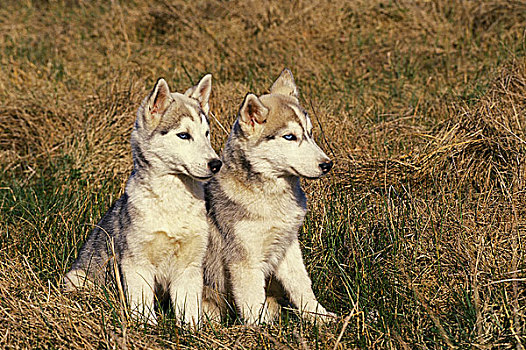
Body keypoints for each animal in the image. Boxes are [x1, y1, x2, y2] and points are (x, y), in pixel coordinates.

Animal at [65, 74, 222, 326]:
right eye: (184, 135)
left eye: (206, 134)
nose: (216, 164)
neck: (172, 203)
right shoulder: (136, 262)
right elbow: (142, 303)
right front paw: (146, 326)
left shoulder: (190, 266)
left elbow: (189, 308)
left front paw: (192, 330)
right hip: (78, 278)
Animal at [204, 69, 336, 326]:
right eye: (289, 137)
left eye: (310, 133)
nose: (327, 165)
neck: (273, 199)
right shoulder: (244, 260)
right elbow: (252, 299)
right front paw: (262, 329)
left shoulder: (287, 245)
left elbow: (301, 284)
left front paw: (319, 316)